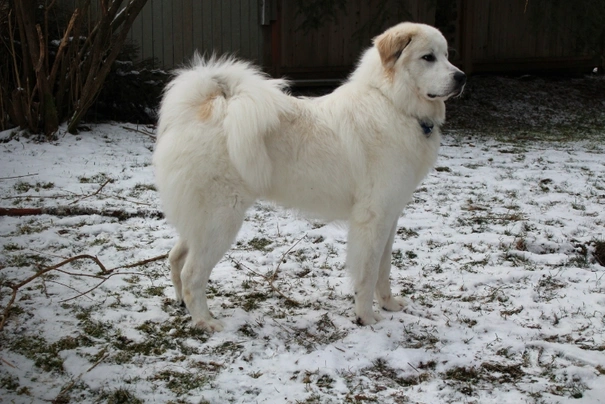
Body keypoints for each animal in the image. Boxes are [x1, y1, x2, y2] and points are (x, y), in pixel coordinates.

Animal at [153, 22, 464, 332]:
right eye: (428, 57)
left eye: (447, 55)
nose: (461, 77)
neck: (393, 103)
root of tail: (203, 106)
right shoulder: (373, 219)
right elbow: (367, 273)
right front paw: (366, 318)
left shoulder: (390, 216)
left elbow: (383, 269)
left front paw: (389, 305)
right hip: (220, 221)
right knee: (193, 273)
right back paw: (206, 321)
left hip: (201, 221)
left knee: (175, 258)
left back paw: (183, 305)